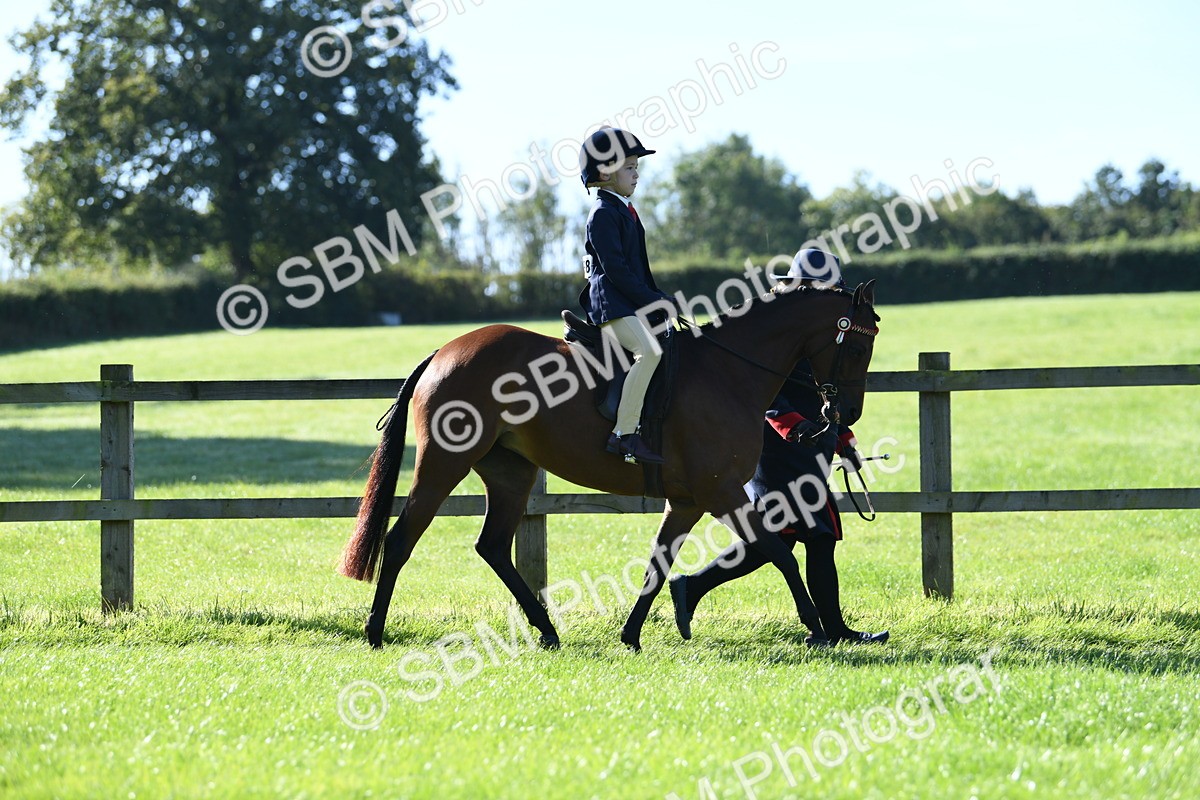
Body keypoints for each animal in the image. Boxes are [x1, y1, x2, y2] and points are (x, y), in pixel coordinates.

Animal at [339, 279, 879, 650]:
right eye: (857, 345)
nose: (848, 413)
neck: (729, 370)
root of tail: (444, 352)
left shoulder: (687, 501)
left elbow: (658, 566)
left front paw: (632, 634)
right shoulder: (720, 492)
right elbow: (779, 552)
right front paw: (817, 628)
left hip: (511, 473)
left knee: (492, 546)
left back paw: (547, 631)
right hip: (443, 464)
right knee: (400, 540)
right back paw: (374, 631)